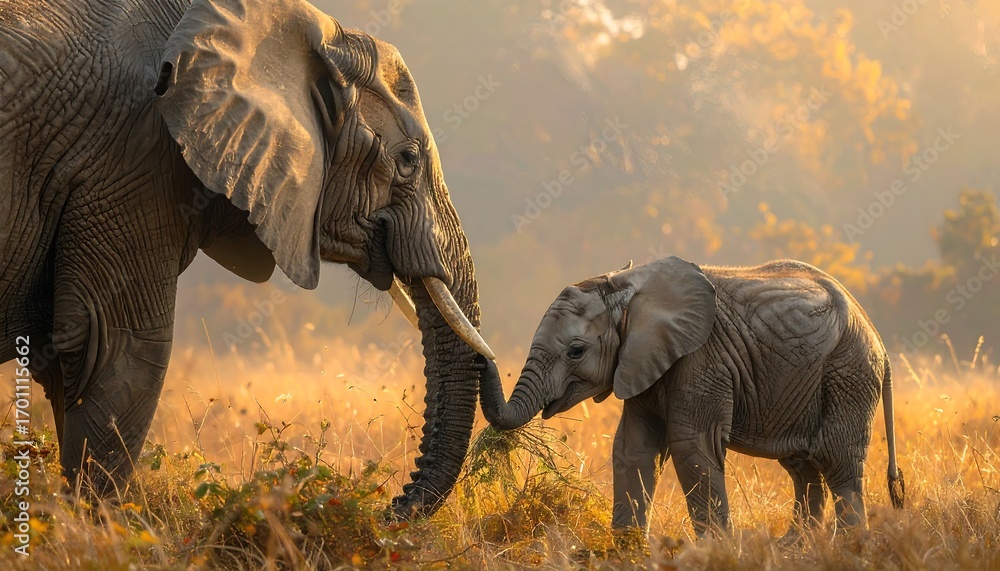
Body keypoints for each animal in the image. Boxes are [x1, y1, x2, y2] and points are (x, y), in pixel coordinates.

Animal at [476, 256, 904, 537]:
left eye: (576, 351)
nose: (481, 357)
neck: (629, 286)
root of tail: (880, 342)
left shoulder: (701, 358)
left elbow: (691, 447)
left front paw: (717, 550)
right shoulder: (644, 359)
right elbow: (632, 447)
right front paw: (625, 549)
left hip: (847, 372)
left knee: (837, 460)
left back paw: (848, 545)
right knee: (802, 466)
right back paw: (795, 546)